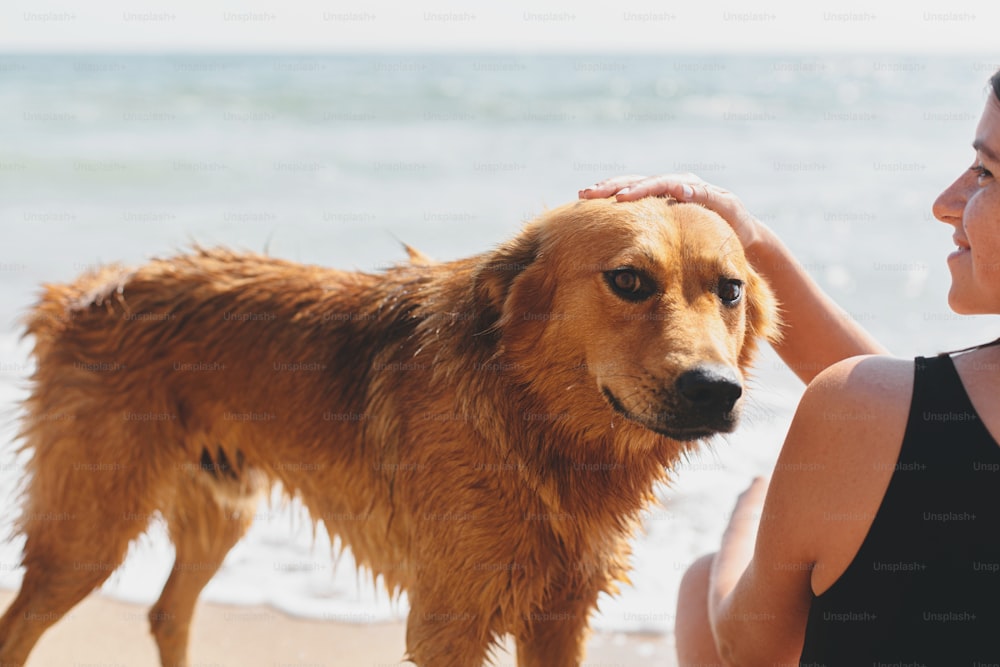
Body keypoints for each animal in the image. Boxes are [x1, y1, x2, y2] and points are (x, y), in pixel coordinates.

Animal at [0, 198, 772, 667]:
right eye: (628, 280)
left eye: (730, 290)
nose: (715, 389)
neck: (531, 423)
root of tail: (81, 293)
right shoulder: (449, 621)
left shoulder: (561, 614)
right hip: (86, 535)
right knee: (22, 625)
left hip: (222, 509)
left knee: (167, 612)